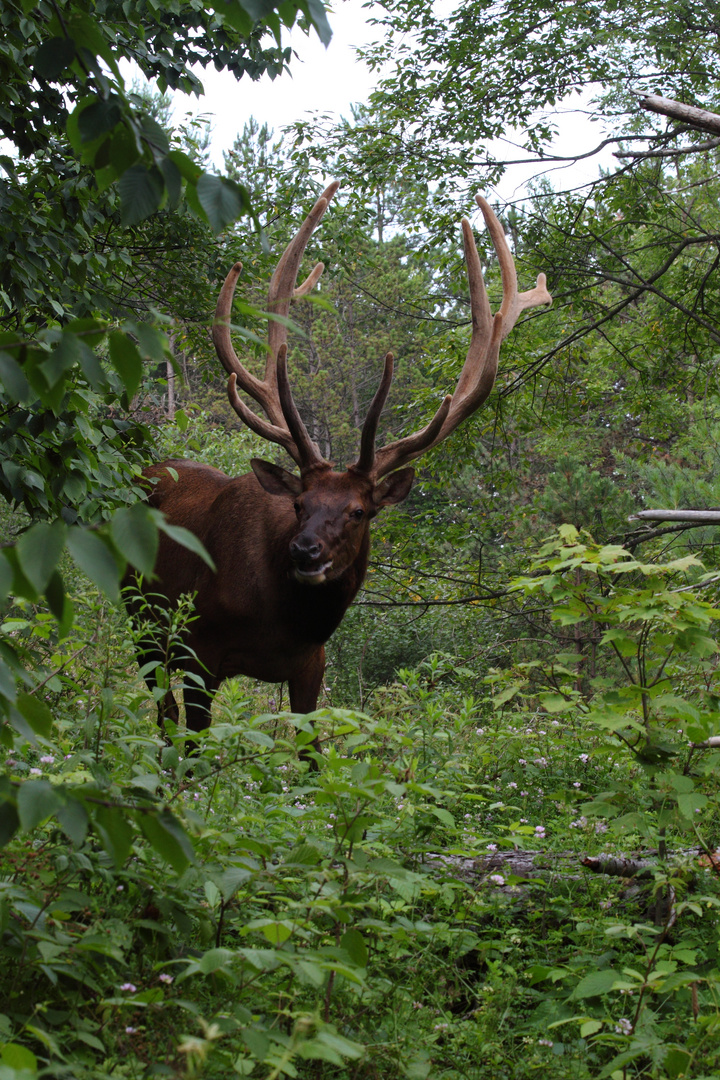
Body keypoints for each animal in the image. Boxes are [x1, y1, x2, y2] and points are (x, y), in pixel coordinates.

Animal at [131, 181, 552, 760]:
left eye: (359, 511)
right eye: (299, 504)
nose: (305, 551)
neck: (279, 620)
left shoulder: (313, 665)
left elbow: (311, 755)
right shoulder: (199, 650)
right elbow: (191, 746)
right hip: (142, 622)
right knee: (162, 713)